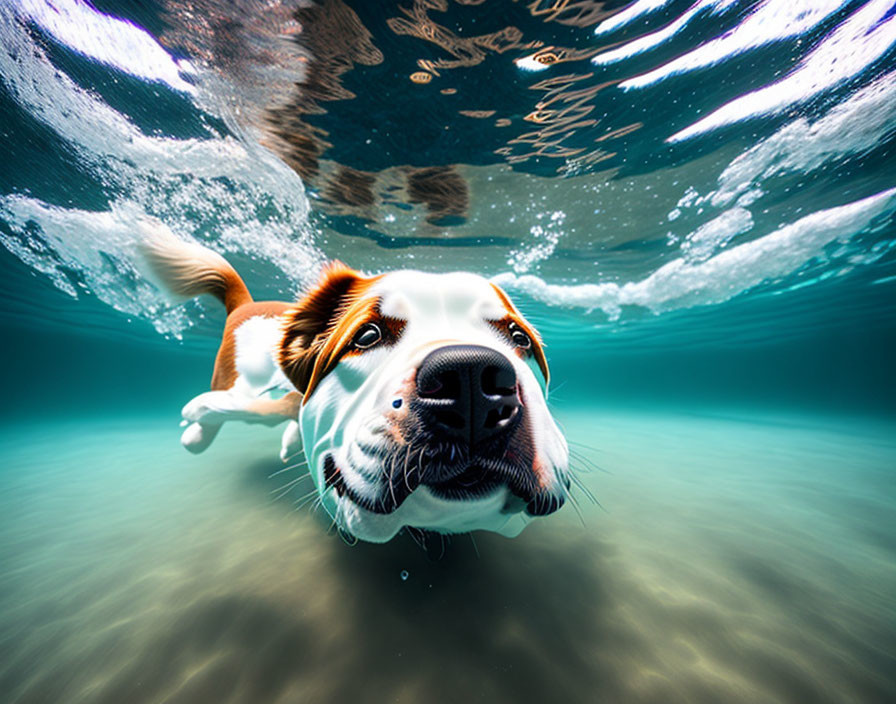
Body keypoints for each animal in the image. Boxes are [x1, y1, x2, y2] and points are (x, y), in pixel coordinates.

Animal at [143, 223, 572, 540]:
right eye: (366, 336)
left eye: (519, 338)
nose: (469, 379)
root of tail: (248, 303)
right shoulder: (284, 397)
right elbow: (245, 408)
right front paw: (198, 411)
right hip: (242, 374)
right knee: (237, 400)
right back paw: (200, 430)